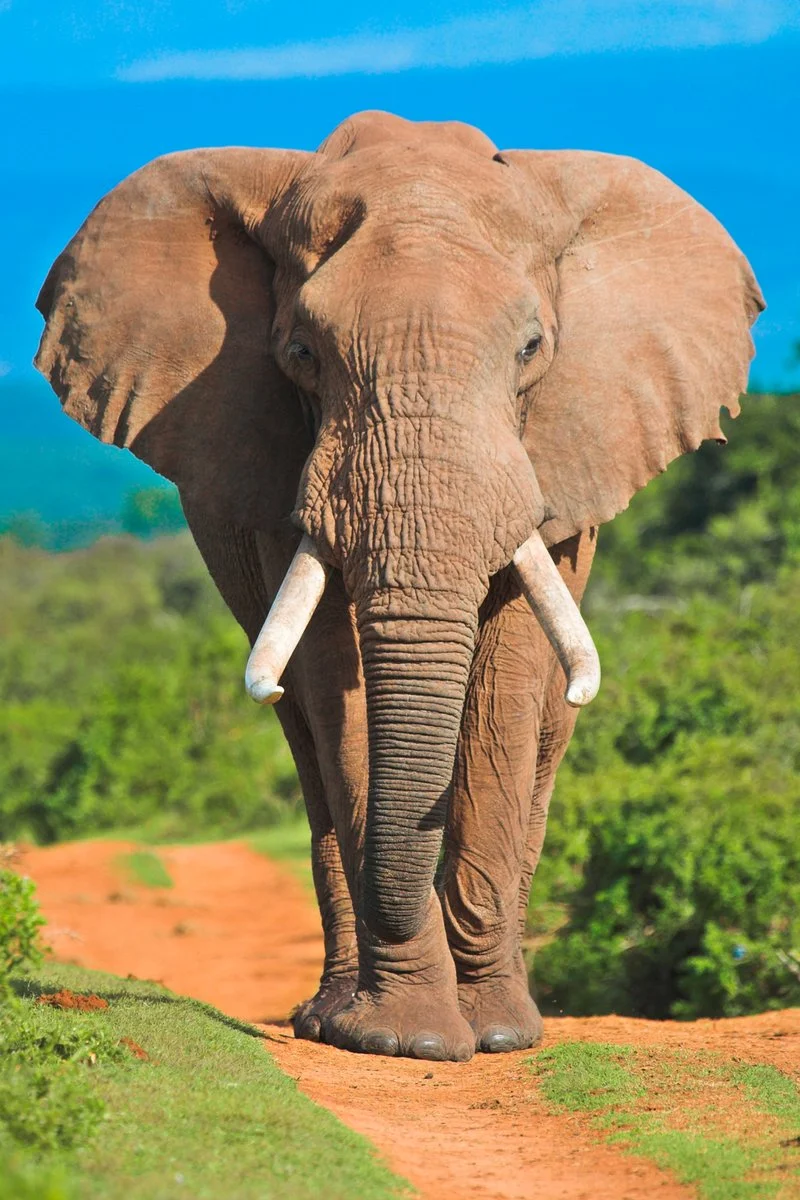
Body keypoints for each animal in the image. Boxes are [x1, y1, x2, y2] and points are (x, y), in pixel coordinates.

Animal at [35, 110, 762, 1063]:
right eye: (300, 354)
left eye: (532, 350)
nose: (475, 1026)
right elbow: (330, 682)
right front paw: (402, 1038)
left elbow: (508, 678)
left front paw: (492, 1034)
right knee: (306, 741)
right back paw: (330, 1018)